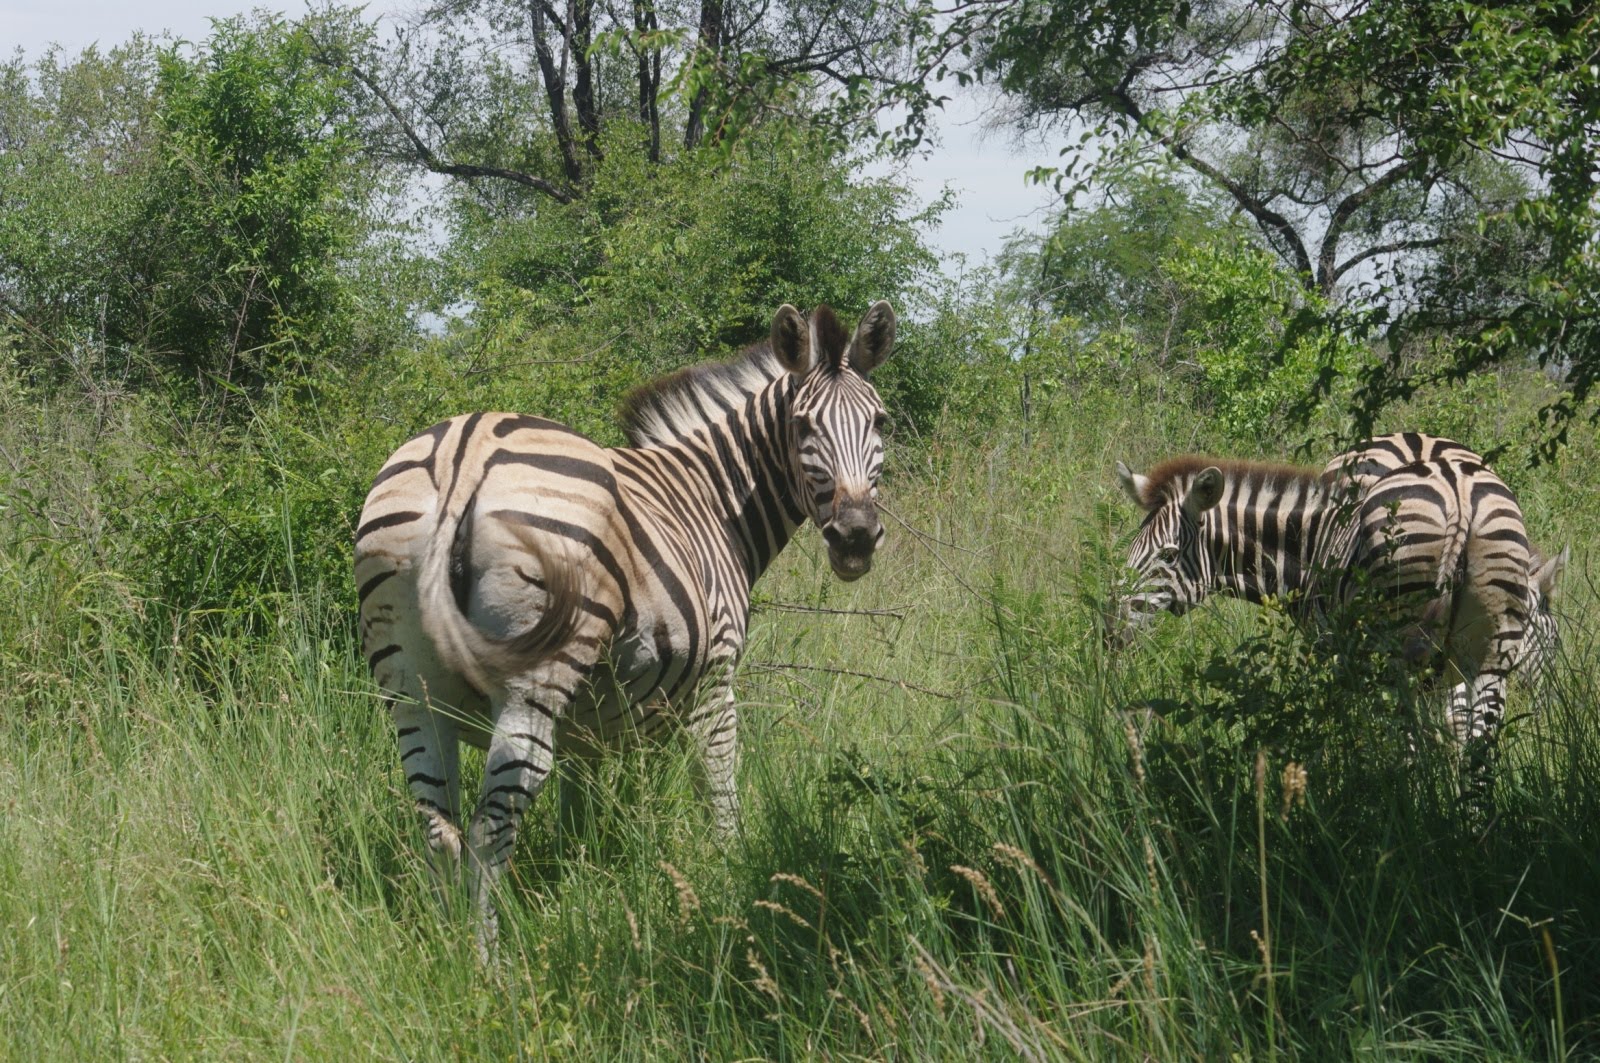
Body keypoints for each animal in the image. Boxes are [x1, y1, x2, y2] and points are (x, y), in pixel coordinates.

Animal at [355, 301, 896, 954]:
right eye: (801, 426)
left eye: (881, 423)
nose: (856, 537)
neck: (711, 496)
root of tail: (463, 457)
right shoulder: (715, 677)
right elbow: (719, 787)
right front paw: (737, 879)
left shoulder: (586, 723)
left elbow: (579, 815)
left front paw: (580, 888)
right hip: (532, 681)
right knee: (489, 829)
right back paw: (490, 962)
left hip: (411, 689)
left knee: (441, 831)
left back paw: (451, 948)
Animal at [1111, 443, 1537, 797]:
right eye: (1132, 549)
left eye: (1167, 556)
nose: (1111, 632)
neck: (1312, 542)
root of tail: (1457, 490)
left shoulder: (1333, 650)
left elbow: (1344, 725)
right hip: (1491, 658)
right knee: (1478, 760)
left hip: (1399, 652)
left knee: (1412, 747)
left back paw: (1411, 810)